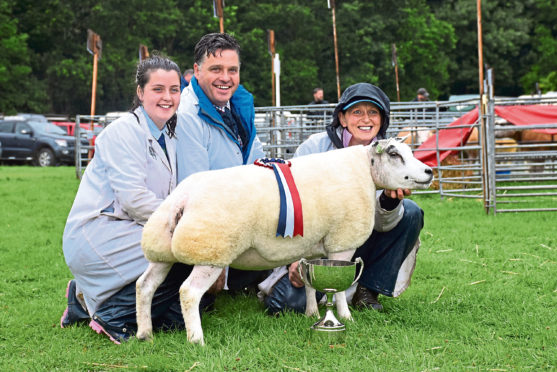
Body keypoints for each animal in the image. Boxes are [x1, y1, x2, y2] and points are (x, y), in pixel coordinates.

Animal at [137, 138, 432, 344]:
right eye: (394, 154)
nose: (429, 172)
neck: (365, 173)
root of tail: (183, 197)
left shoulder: (315, 249)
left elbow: (311, 286)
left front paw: (312, 314)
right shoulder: (341, 243)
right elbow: (338, 292)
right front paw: (345, 317)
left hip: (161, 250)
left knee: (145, 285)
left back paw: (145, 333)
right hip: (210, 250)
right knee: (189, 293)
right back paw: (196, 339)